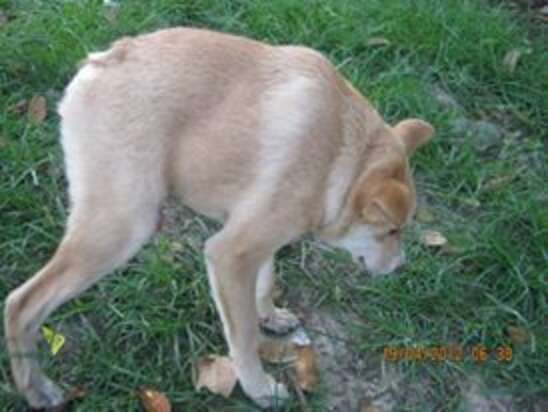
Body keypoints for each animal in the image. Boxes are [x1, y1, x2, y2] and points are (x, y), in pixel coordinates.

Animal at [3, 26, 432, 408]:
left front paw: (270, 315)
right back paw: (36, 389)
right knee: (21, 303)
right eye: (392, 230)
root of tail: (104, 59)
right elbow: (243, 338)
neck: (341, 154)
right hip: (122, 228)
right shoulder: (229, 254)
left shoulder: (258, 241)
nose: (399, 266)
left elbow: (265, 282)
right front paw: (259, 389)